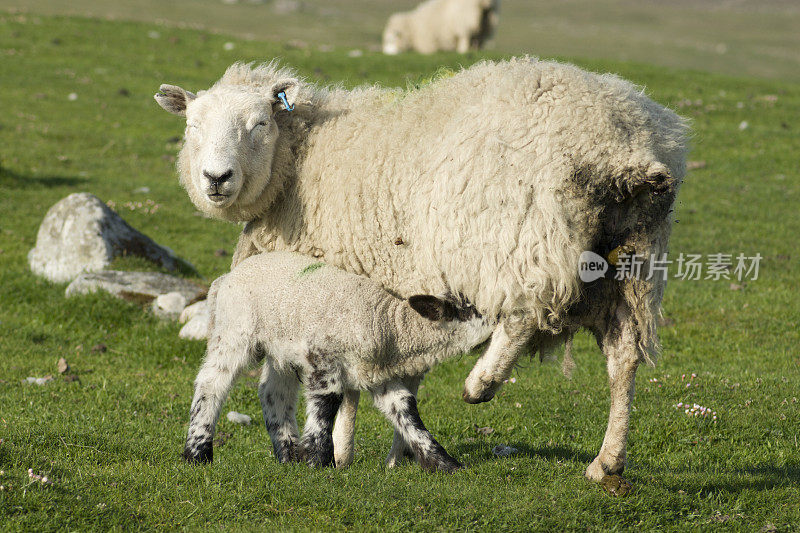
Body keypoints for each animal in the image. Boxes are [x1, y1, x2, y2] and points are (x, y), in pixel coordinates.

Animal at [184, 249, 494, 470]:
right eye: (467, 310)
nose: (497, 318)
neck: (387, 325)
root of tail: (225, 279)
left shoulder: (377, 374)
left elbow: (406, 410)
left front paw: (445, 463)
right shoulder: (322, 357)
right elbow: (327, 403)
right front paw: (319, 460)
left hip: (280, 345)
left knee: (273, 392)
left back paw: (288, 456)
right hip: (234, 330)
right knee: (211, 383)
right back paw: (197, 453)